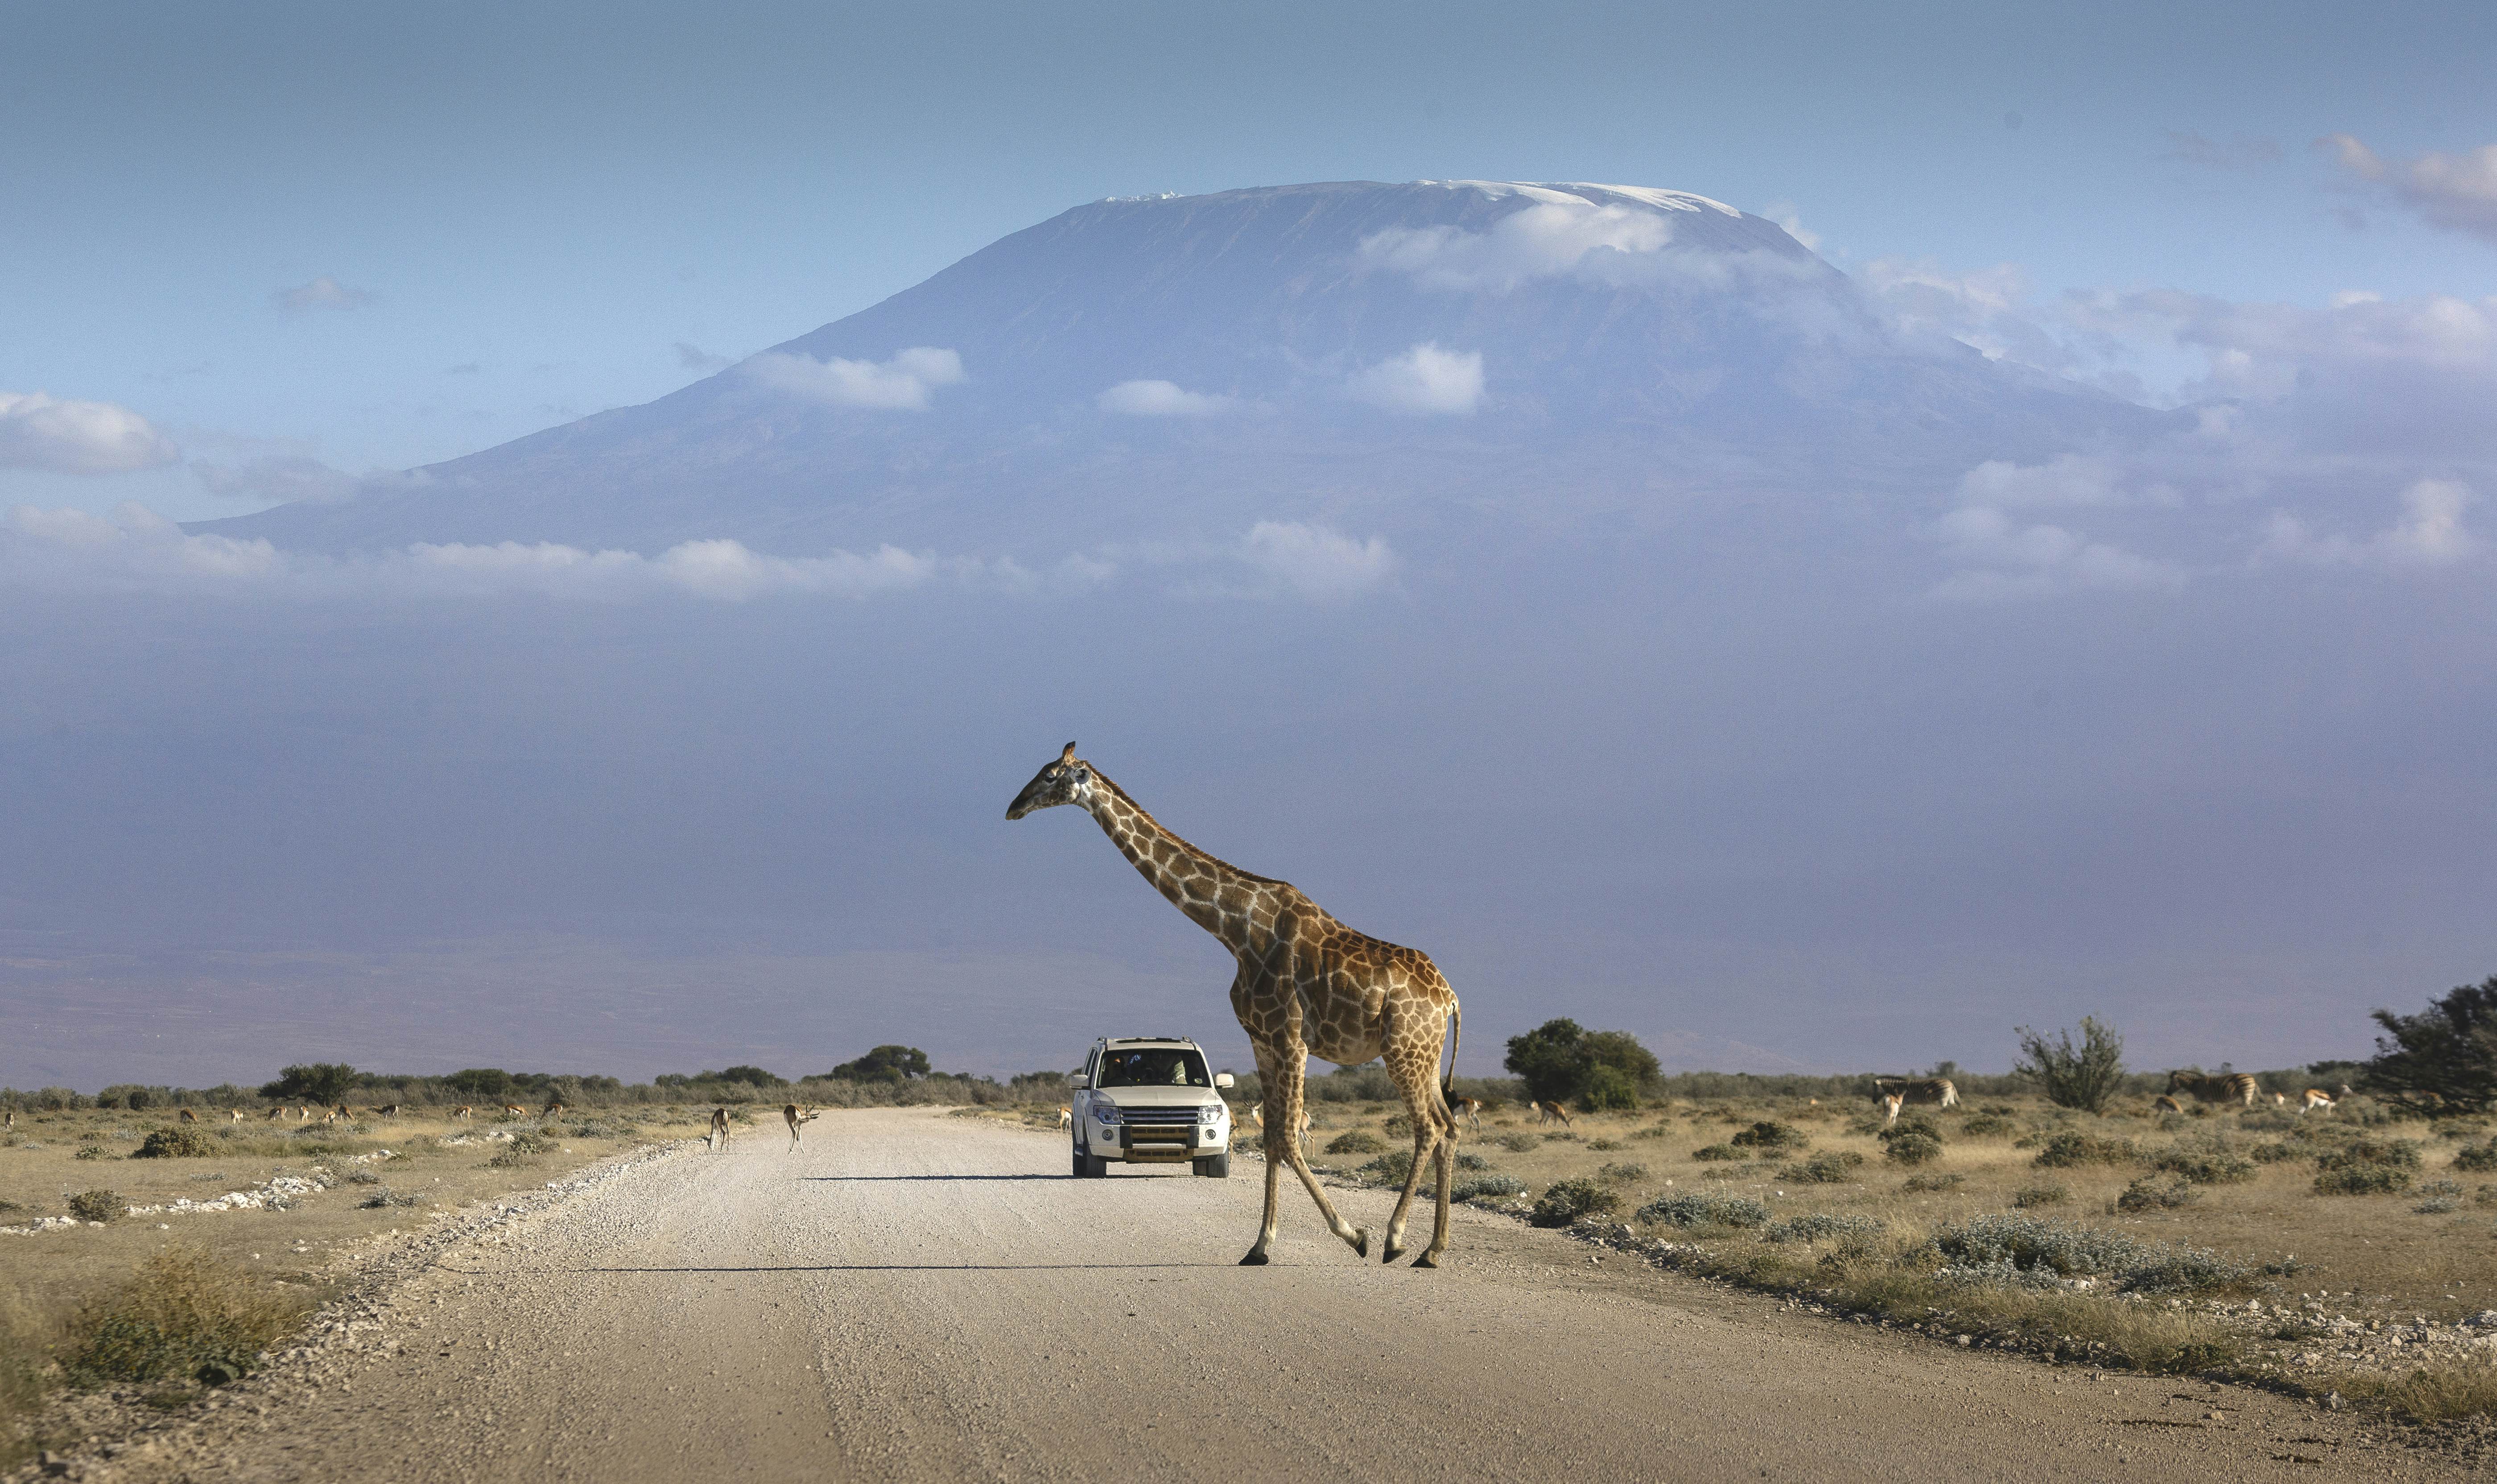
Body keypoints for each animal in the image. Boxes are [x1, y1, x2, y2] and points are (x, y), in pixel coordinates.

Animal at [1008, 739, 1458, 1259]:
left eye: (1048, 776)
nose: (1013, 807)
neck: (1236, 931)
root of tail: (1449, 997)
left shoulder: (1290, 1037)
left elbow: (1287, 1138)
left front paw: (1353, 1234)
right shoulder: (1261, 1039)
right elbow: (1272, 1139)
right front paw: (1260, 1246)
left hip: (1404, 1050)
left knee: (1428, 1127)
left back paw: (1394, 1238)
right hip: (1424, 1056)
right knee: (1448, 1126)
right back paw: (1433, 1251)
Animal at [2167, 1069, 2267, 1104]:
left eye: (2172, 1082)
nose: (2167, 1093)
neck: (2195, 1084)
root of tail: (2253, 1078)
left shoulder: (2201, 1099)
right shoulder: (2209, 1101)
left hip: (2246, 1094)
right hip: (2248, 1093)